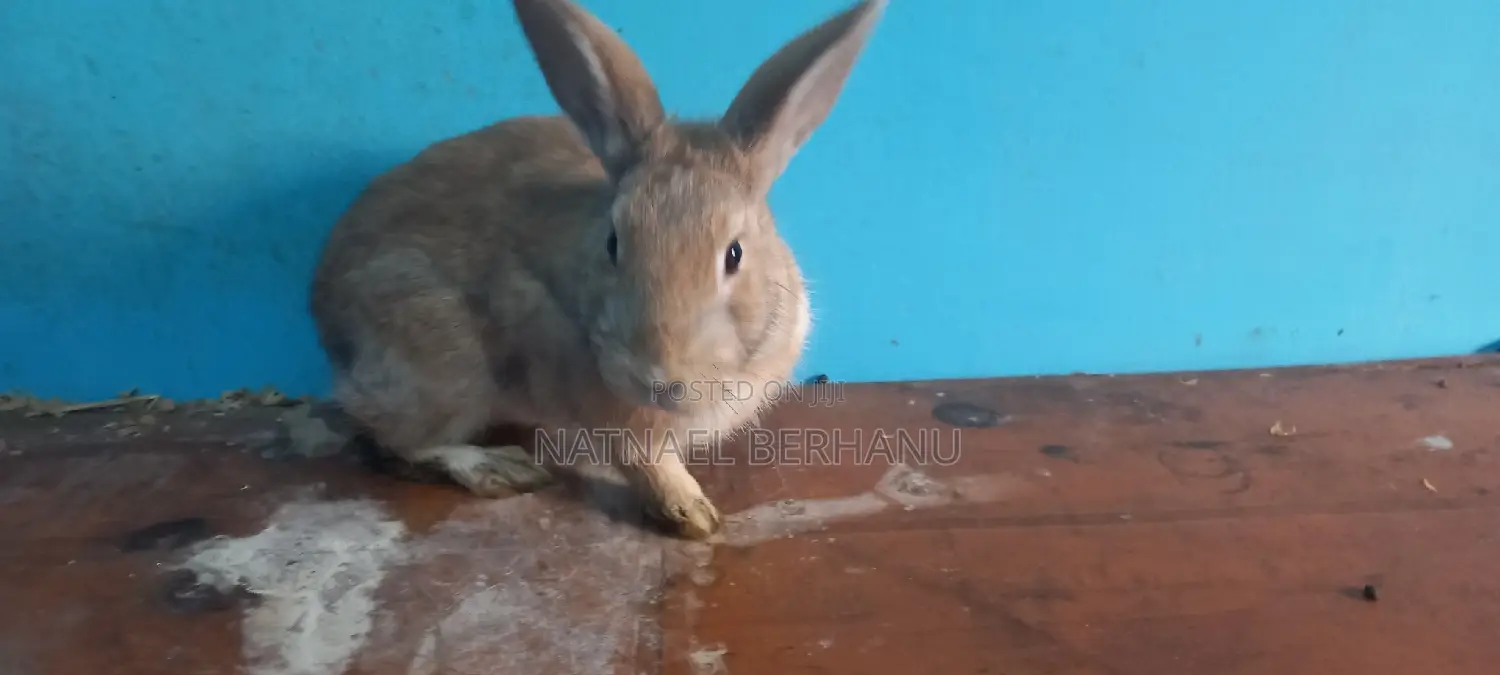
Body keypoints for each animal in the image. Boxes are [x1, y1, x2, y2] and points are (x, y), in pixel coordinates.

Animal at [308, 0, 887, 539]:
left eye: (735, 254)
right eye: (613, 243)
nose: (659, 377)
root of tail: (327, 322)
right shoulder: (607, 414)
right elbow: (646, 463)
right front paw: (693, 514)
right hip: (441, 365)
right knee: (391, 437)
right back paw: (498, 467)